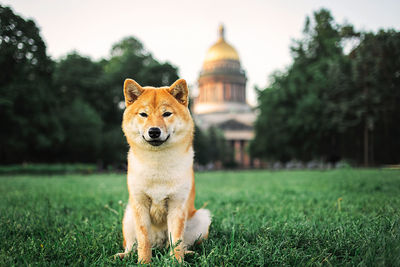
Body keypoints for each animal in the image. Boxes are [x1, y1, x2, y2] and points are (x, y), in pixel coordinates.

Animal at [114, 78, 211, 264]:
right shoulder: (140, 205)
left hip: (201, 218)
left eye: (166, 114)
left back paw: (189, 253)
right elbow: (143, 240)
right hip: (128, 216)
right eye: (143, 114)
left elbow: (177, 240)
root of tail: (158, 245)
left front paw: (177, 262)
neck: (157, 164)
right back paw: (124, 255)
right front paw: (144, 262)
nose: (154, 131)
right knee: (131, 245)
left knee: (183, 243)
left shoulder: (177, 205)